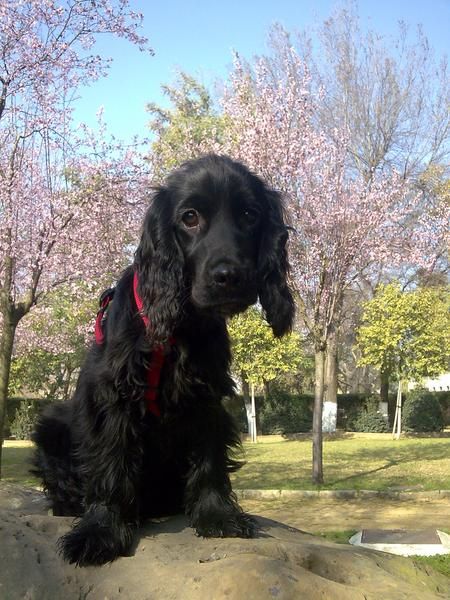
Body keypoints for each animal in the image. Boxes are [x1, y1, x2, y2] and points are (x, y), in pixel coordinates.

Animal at [30, 155, 292, 568]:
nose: (229, 276)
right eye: (189, 217)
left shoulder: (207, 397)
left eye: (250, 215)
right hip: (52, 424)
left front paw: (216, 515)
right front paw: (100, 531)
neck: (178, 328)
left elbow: (209, 459)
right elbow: (111, 466)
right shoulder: (115, 397)